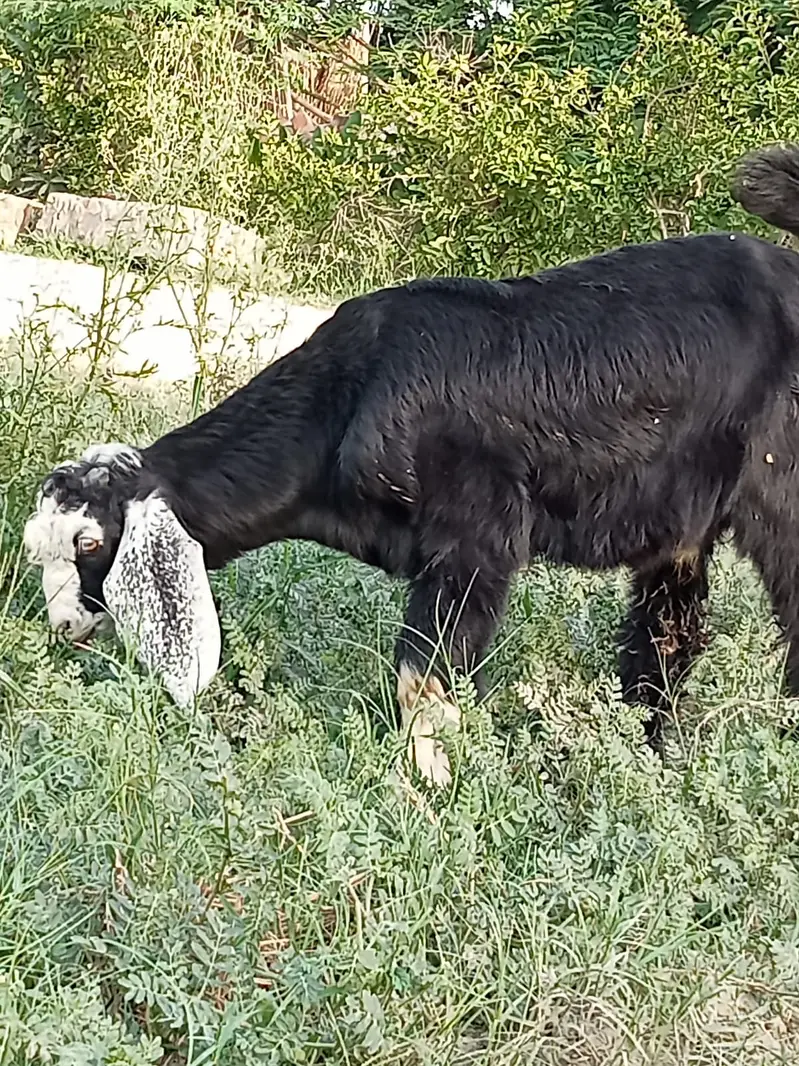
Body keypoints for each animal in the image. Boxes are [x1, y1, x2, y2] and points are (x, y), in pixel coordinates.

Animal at [22, 142, 799, 785]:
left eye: (90, 543)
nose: (60, 626)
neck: (351, 395)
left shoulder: (476, 539)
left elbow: (422, 680)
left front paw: (431, 790)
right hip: (683, 521)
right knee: (668, 635)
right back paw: (648, 755)